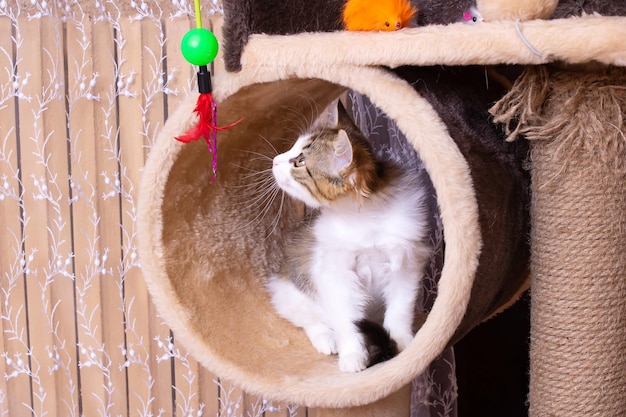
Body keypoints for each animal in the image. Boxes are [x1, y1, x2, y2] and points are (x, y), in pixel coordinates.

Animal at [264, 104, 428, 370]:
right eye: (293, 148)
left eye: (299, 161)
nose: (274, 160)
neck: (364, 219)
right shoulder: (335, 273)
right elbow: (347, 321)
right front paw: (352, 355)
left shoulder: (406, 263)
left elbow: (399, 310)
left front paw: (402, 344)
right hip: (289, 291)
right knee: (312, 321)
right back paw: (328, 340)